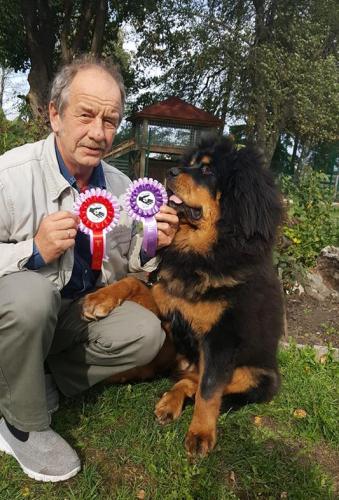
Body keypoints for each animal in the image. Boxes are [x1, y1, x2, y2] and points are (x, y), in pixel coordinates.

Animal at [83, 135, 286, 456]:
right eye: (189, 163)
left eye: (208, 170)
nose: (171, 172)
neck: (199, 252)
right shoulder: (167, 306)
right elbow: (133, 282)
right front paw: (99, 299)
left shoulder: (222, 338)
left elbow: (209, 389)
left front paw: (201, 434)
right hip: (169, 340)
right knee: (168, 372)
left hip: (258, 376)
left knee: (195, 383)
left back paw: (170, 402)